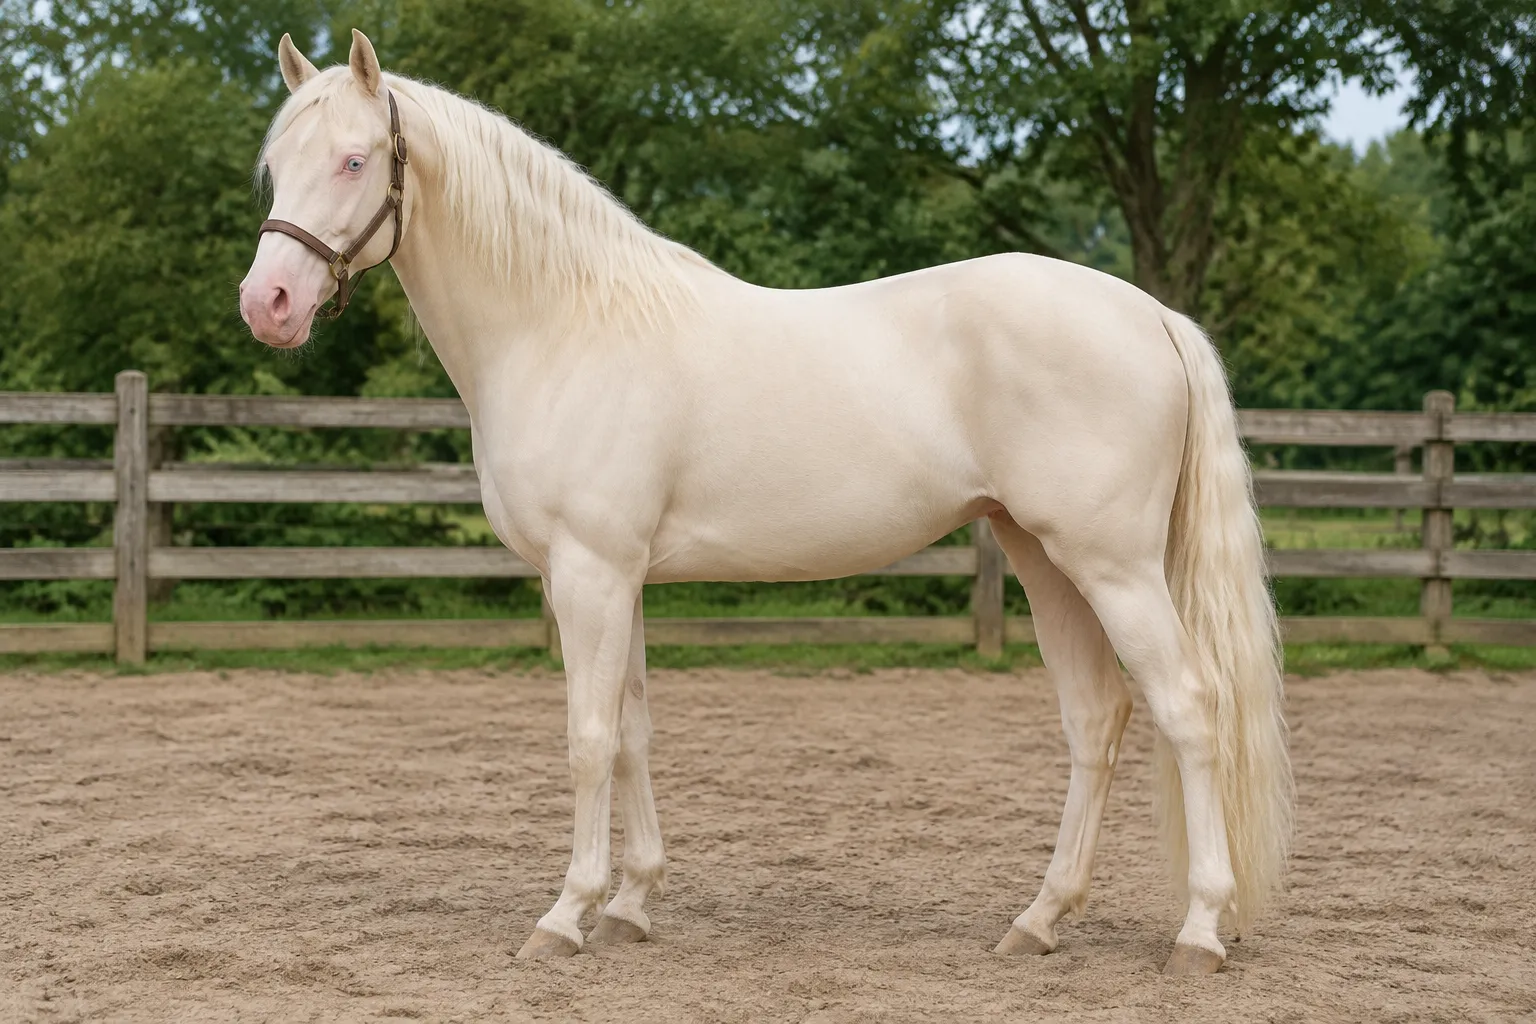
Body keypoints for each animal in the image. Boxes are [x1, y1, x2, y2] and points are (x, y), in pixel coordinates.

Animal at [239, 29, 1293, 975]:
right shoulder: (619, 579)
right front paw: (630, 904)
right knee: (1096, 719)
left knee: (1186, 706)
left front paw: (566, 915)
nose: (268, 305)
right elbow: (632, 734)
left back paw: (1198, 931)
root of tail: (1150, 313)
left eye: (354, 159)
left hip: (1113, 566)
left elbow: (587, 740)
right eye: (275, 168)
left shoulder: (590, 574)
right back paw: (1038, 922)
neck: (565, 326)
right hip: (1045, 560)